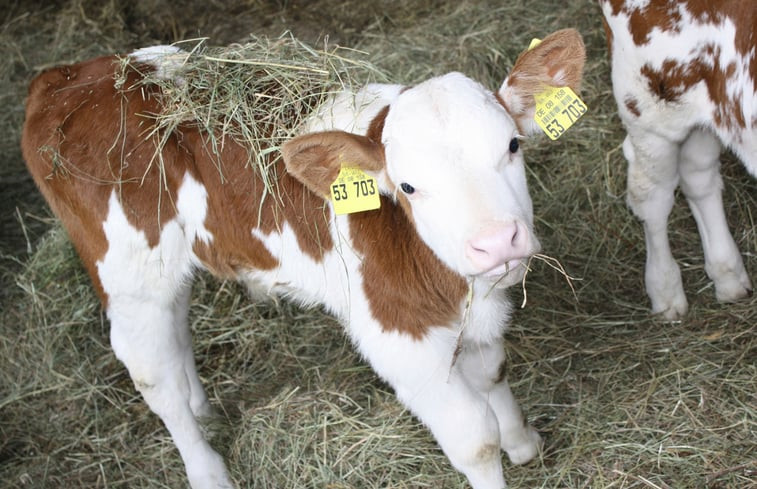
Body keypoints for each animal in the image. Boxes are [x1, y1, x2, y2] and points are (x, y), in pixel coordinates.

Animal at [19, 28, 584, 486]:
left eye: (513, 145)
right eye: (407, 186)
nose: (498, 241)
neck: (453, 284)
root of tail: (64, 78)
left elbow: (493, 371)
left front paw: (522, 442)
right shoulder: (399, 337)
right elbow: (475, 441)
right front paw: (501, 446)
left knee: (175, 334)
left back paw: (203, 411)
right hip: (128, 273)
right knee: (153, 377)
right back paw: (207, 470)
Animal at [600, 0, 752, 318]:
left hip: (709, 103)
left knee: (697, 173)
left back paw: (728, 276)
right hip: (649, 99)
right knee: (651, 194)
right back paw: (665, 292)